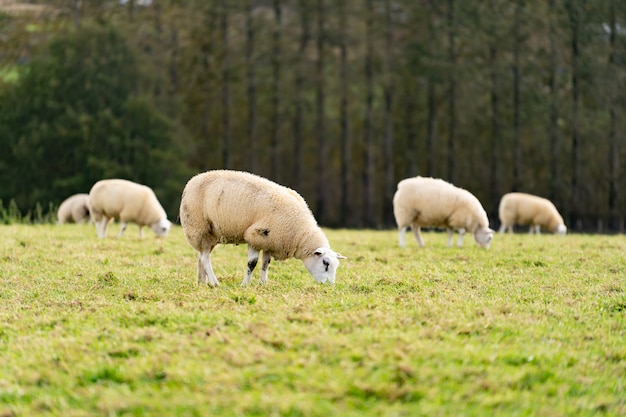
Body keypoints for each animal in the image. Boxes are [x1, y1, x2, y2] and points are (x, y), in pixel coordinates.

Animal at [177, 170, 346, 286]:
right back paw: (214, 283)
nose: (330, 286)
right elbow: (252, 264)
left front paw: (263, 284)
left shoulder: (271, 241)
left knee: (201, 257)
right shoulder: (255, 236)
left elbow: (266, 263)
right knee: (205, 258)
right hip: (199, 228)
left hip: (210, 234)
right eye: (325, 263)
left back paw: (202, 283)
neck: (299, 233)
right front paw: (245, 285)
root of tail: (193, 179)